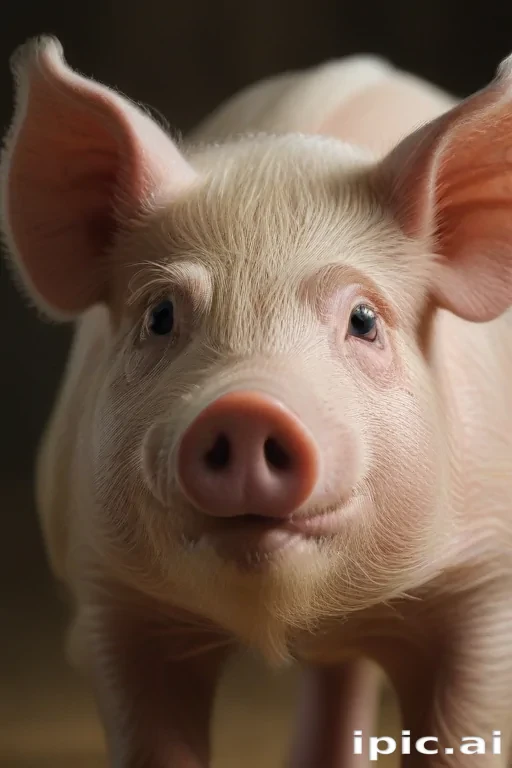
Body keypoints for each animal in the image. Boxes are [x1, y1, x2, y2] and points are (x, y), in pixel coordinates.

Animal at [2, 34, 512, 768]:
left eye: (364, 320)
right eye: (160, 315)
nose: (246, 407)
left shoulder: (482, 586)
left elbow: (459, 728)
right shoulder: (109, 597)